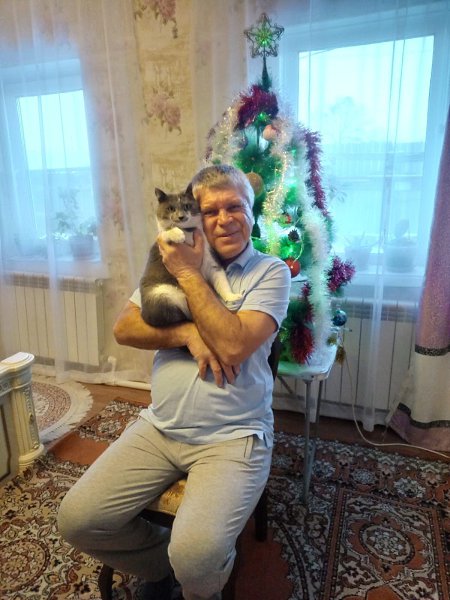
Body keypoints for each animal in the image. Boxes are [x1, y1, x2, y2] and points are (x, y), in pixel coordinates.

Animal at [139, 185, 242, 327]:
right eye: (171, 208)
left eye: (187, 206)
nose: (181, 217)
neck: (189, 231)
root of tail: (144, 315)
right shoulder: (161, 240)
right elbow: (166, 231)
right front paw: (178, 235)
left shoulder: (210, 259)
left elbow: (222, 281)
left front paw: (232, 296)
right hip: (162, 295)